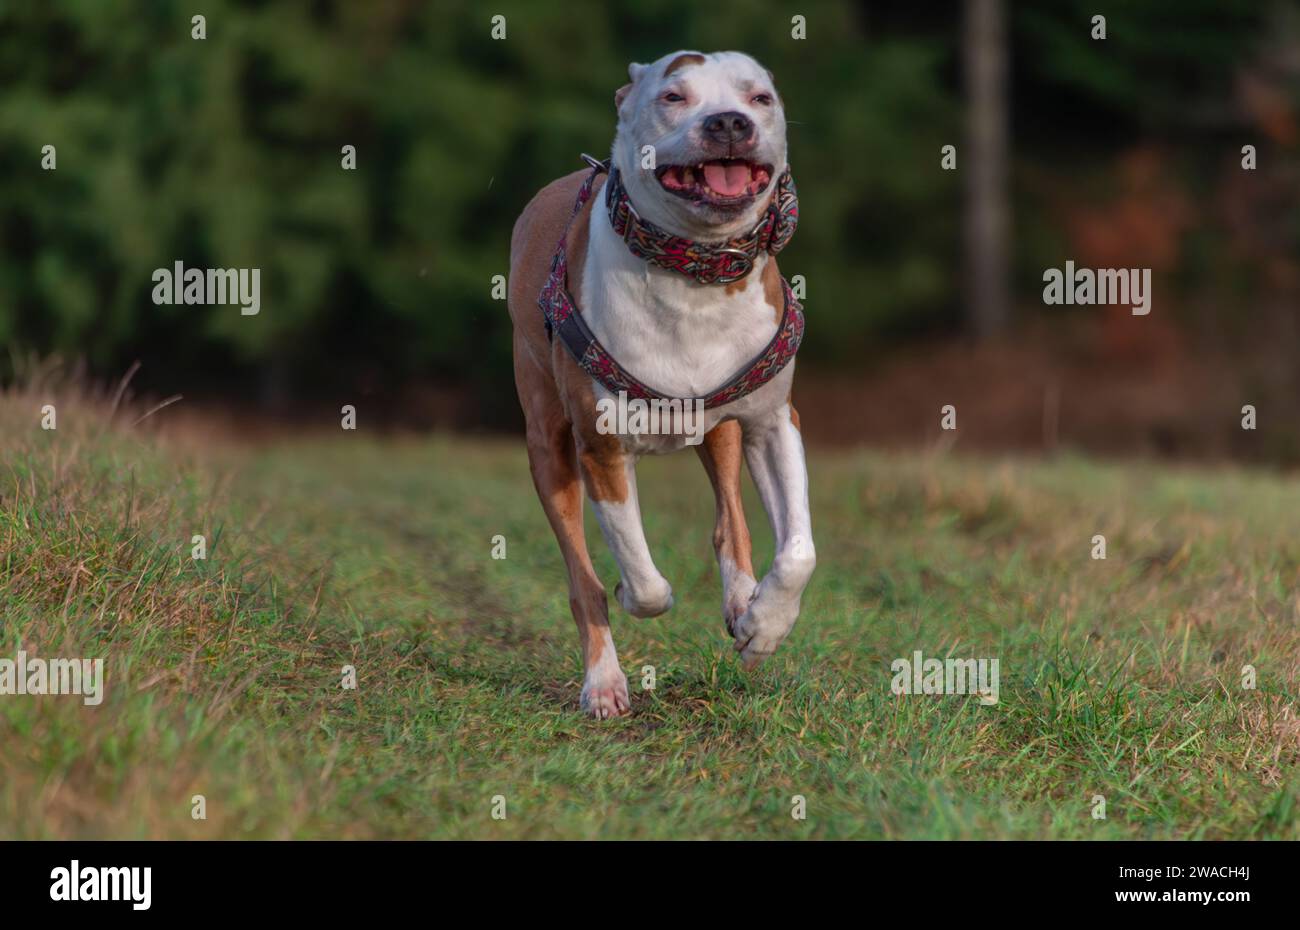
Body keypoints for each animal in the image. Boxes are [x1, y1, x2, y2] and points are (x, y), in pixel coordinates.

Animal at [506, 49, 811, 717]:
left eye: (759, 98)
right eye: (674, 96)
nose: (728, 123)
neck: (695, 269)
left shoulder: (773, 421)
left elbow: (799, 552)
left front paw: (764, 627)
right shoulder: (600, 446)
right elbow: (642, 580)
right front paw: (632, 593)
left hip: (721, 430)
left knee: (731, 521)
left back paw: (742, 602)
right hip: (546, 446)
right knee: (581, 577)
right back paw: (604, 682)